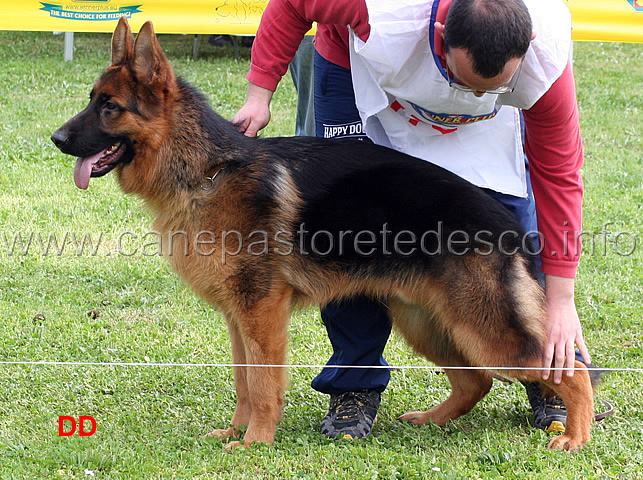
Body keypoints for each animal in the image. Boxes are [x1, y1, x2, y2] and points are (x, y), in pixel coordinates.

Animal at [52, 18, 596, 450]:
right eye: (92, 101)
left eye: (110, 107)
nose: (56, 139)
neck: (207, 171)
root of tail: (506, 224)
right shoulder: (237, 318)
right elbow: (244, 382)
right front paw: (236, 432)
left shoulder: (261, 314)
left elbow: (264, 386)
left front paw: (255, 442)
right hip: (426, 322)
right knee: (475, 382)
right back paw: (432, 420)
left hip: (482, 331)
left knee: (567, 371)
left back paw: (574, 435)